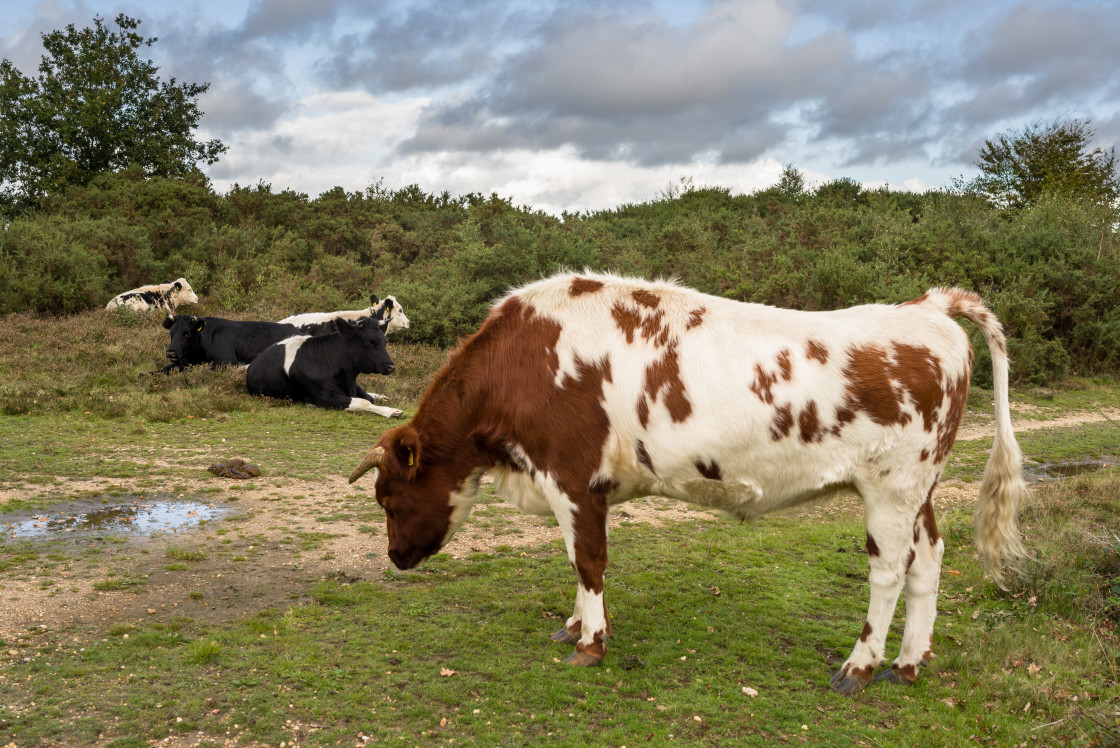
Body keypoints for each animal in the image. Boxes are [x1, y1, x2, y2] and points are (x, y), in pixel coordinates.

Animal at [246, 318, 403, 418]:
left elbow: (368, 398)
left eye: (384, 342)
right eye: (369, 343)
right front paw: (392, 412)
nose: (391, 366)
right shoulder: (325, 396)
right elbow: (364, 402)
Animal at [347, 272, 1025, 694]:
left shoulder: (572, 476)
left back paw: (859, 667)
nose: (395, 557)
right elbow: (576, 561)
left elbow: (588, 560)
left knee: (888, 571)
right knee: (928, 559)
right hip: (919, 490)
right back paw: (908, 664)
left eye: (388, 496)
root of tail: (926, 307)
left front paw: (590, 642)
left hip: (891, 486)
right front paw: (573, 624)